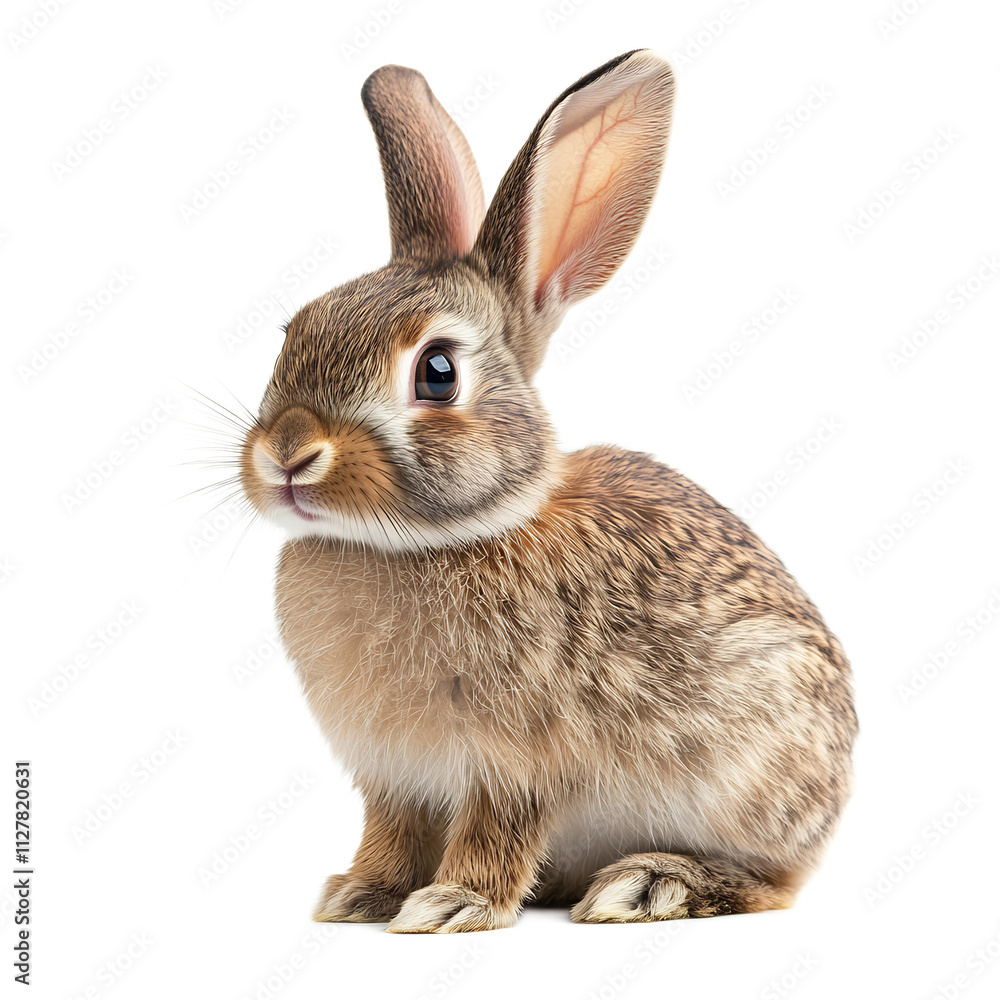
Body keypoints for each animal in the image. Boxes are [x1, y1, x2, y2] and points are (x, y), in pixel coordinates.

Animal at [237, 49, 857, 933]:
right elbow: (390, 832)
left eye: (437, 372)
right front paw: (360, 895)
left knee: (773, 883)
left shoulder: (520, 760)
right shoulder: (392, 775)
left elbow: (497, 832)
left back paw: (652, 883)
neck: (421, 542)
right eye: (294, 332)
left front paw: (451, 905)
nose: (288, 453)